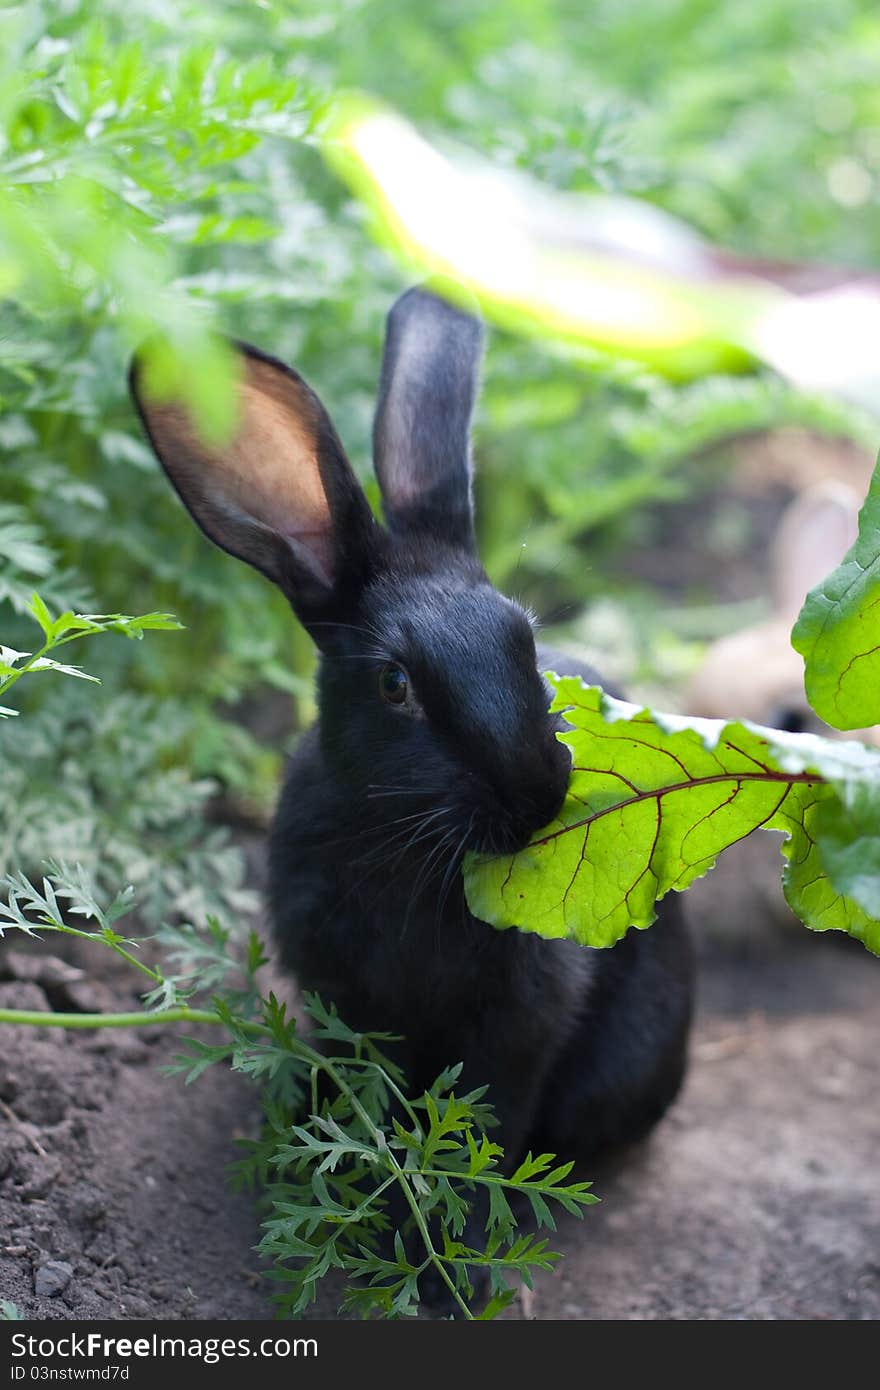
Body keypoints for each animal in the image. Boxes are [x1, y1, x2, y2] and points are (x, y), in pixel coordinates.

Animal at [130, 287, 692, 1306]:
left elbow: (478, 1130)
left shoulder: (514, 1026)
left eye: (525, 640)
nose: (536, 794)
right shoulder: (345, 1001)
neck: (401, 849)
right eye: (396, 684)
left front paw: (447, 1263)